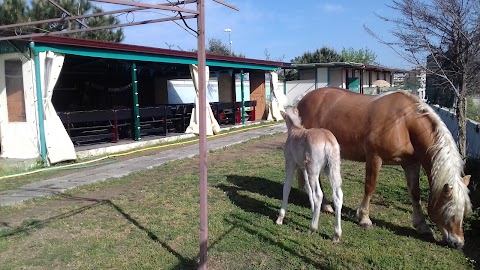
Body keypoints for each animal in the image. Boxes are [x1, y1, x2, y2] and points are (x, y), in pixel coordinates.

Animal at [276, 106, 344, 242]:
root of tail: (327, 140)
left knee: (318, 194)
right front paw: (313, 211)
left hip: (313, 170)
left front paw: (280, 218)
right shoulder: (303, 168)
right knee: (338, 195)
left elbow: (286, 188)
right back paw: (336, 235)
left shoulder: (291, 164)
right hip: (332, 169)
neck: (295, 130)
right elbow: (308, 189)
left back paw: (312, 228)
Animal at [296, 87, 472, 249]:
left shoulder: (411, 164)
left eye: (464, 212)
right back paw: (324, 204)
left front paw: (423, 226)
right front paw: (364, 218)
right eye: (449, 212)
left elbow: (415, 194)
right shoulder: (374, 158)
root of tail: (303, 100)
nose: (459, 243)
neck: (404, 123)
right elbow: (370, 187)